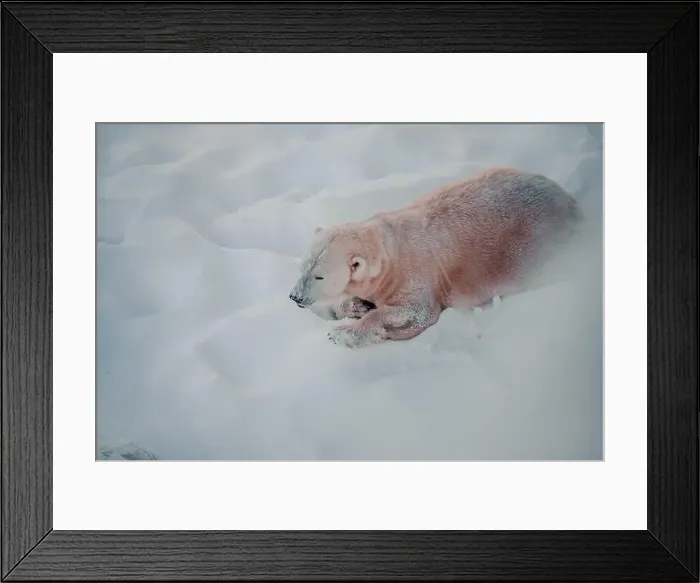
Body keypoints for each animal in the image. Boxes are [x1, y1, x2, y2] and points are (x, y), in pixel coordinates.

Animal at [289, 168, 583, 348]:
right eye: (302, 266)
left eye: (319, 276)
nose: (295, 297)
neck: (388, 252)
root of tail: (570, 200)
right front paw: (357, 305)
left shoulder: (415, 275)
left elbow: (416, 312)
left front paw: (342, 333)